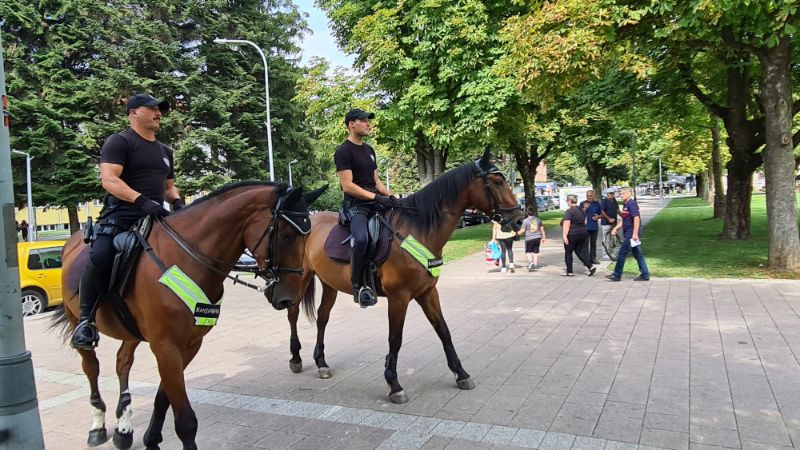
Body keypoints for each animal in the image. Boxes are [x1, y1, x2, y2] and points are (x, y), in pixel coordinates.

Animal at [54, 182, 324, 450]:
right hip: (77, 320)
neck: (185, 260)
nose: (288, 298)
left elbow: (163, 397)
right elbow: (185, 420)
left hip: (130, 331)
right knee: (91, 367)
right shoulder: (166, 347)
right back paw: (98, 425)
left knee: (123, 362)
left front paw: (151, 438)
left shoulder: (189, 345)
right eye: (287, 236)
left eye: (307, 236)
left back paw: (124, 427)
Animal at [288, 151, 524, 404]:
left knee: (322, 317)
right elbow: (395, 338)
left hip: (329, 283)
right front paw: (394, 384)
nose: (519, 220)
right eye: (498, 182)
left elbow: (443, 330)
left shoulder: (427, 292)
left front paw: (461, 374)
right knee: (292, 313)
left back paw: (321, 362)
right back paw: (296, 358)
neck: (418, 229)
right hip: (299, 278)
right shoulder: (398, 297)